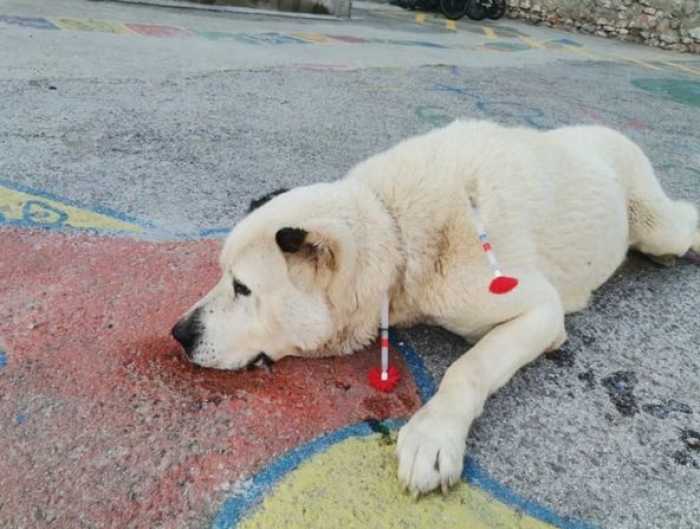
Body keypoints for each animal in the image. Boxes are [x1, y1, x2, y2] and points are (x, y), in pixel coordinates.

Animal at [172, 120, 699, 497]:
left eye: (243, 288)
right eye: (223, 276)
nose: (179, 333)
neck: (396, 231)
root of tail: (605, 129)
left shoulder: (540, 309)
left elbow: (468, 367)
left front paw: (433, 435)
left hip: (656, 223)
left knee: (684, 219)